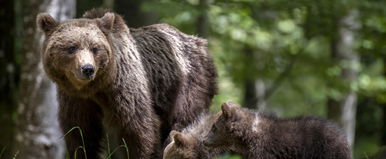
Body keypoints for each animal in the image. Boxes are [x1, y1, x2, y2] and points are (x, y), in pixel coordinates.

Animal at [36, 9, 217, 158]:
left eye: (95, 48)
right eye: (71, 47)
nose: (87, 69)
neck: (96, 88)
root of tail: (200, 42)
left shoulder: (125, 87)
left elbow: (139, 129)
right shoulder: (75, 99)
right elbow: (80, 133)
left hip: (187, 82)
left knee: (184, 121)